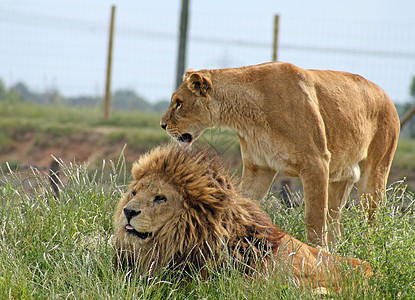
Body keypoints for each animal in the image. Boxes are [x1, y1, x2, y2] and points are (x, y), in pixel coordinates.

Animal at [161, 62, 402, 247]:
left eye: (179, 103)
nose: (162, 125)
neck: (247, 115)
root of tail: (387, 97)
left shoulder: (316, 162)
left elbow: (314, 218)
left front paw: (317, 255)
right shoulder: (258, 167)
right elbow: (244, 203)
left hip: (375, 175)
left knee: (372, 221)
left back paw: (370, 250)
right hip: (340, 180)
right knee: (336, 222)